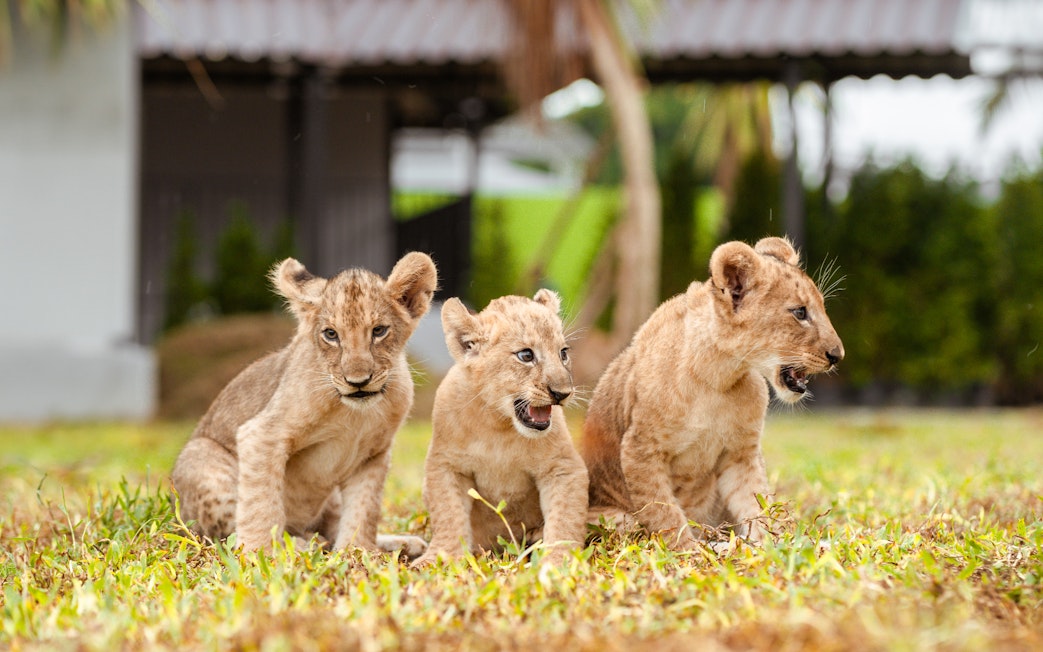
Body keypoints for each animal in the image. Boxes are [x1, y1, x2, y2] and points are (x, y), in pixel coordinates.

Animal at [170, 252, 437, 556]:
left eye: (379, 331)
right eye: (331, 334)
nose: (357, 381)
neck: (355, 414)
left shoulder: (373, 455)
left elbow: (363, 509)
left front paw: (357, 552)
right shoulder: (262, 434)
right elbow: (260, 504)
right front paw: (258, 553)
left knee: (331, 528)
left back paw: (400, 543)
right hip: (200, 458)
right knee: (228, 534)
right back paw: (301, 544)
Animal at [412, 290, 589, 567]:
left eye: (563, 353)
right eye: (526, 355)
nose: (563, 393)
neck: (499, 423)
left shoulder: (563, 467)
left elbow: (565, 519)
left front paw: (559, 562)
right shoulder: (446, 464)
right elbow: (448, 514)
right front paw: (440, 557)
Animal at [583, 237, 844, 550]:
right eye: (800, 312)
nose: (838, 355)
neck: (717, 375)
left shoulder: (740, 453)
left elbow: (757, 503)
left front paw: (774, 545)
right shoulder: (640, 451)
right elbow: (664, 514)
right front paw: (689, 552)